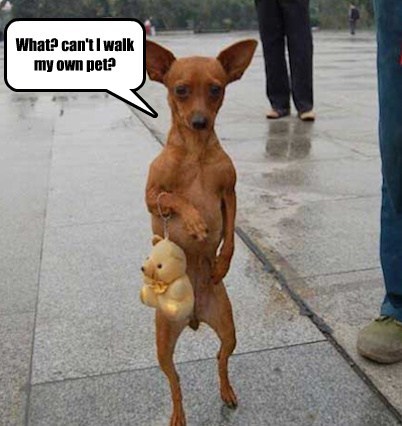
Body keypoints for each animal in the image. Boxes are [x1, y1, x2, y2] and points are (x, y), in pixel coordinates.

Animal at [145, 38, 257, 426]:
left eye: (216, 89)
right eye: (180, 90)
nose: (198, 121)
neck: (194, 154)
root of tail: (193, 317)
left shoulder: (230, 194)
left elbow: (231, 236)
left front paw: (221, 262)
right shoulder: (151, 197)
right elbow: (174, 197)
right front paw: (194, 221)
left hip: (228, 328)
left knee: (221, 358)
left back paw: (226, 391)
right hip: (164, 343)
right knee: (174, 381)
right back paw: (178, 414)